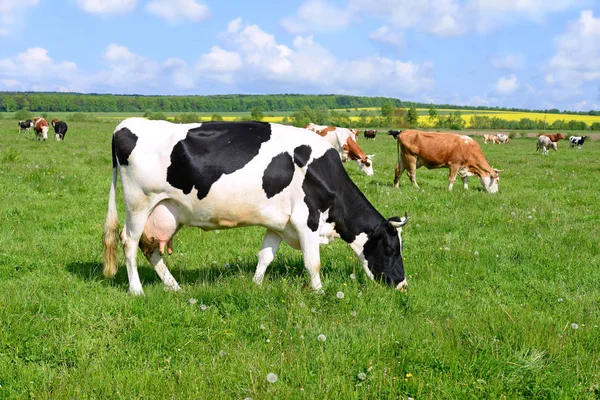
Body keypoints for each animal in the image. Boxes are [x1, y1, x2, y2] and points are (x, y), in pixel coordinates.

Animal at [105, 118, 410, 294]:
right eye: (391, 249)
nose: (403, 285)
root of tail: (124, 124)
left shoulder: (279, 224)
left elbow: (265, 256)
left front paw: (256, 285)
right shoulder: (306, 221)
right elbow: (313, 263)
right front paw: (320, 293)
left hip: (165, 211)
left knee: (150, 249)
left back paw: (174, 287)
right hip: (139, 204)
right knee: (129, 243)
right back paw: (137, 290)